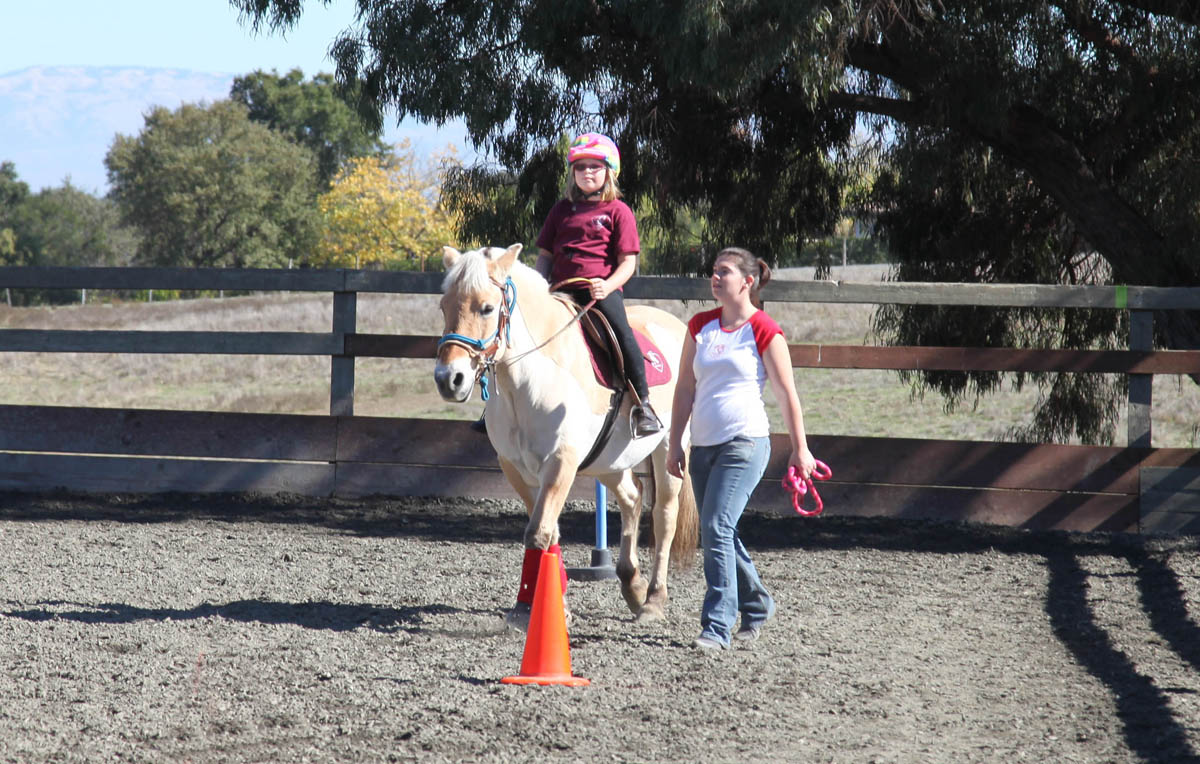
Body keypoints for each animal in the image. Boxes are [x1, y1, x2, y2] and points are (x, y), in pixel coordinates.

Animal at [433, 243, 698, 628]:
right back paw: (631, 584)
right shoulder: (516, 469)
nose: (448, 379)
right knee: (633, 497)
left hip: (669, 450)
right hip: (609, 460)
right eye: (444, 306)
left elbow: (539, 532)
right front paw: (548, 605)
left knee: (665, 515)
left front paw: (527, 609)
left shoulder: (562, 462)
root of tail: (675, 325)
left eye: (486, 308)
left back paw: (653, 600)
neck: (531, 378)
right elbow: (548, 532)